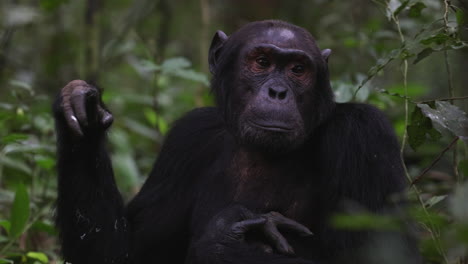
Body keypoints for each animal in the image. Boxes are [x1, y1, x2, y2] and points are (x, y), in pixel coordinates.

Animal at [53, 19, 418, 262]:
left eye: (298, 69)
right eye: (262, 62)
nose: (277, 91)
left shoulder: (364, 137)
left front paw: (223, 240)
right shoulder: (188, 139)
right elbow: (123, 252)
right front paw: (81, 111)